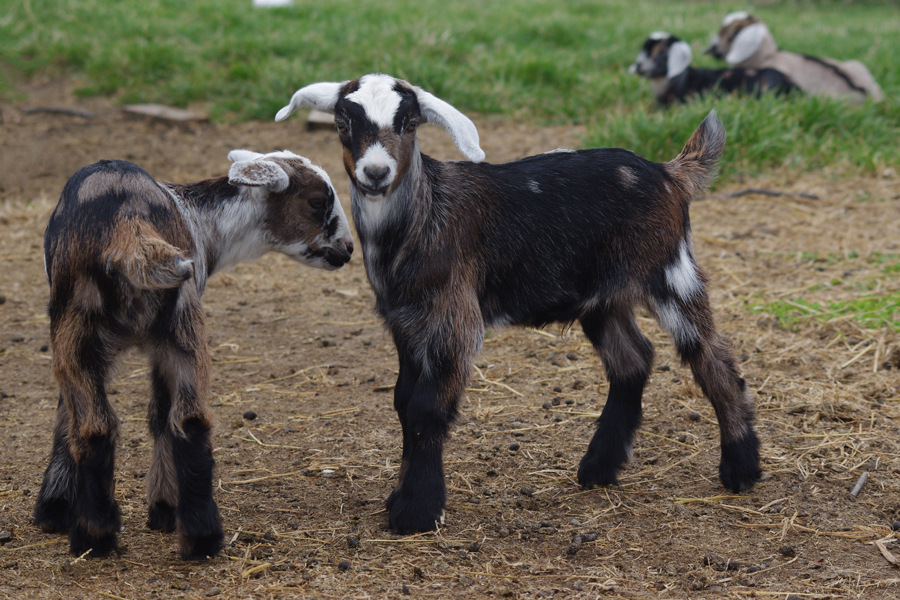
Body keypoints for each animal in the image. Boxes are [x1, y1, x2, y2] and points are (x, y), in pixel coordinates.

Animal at [274, 76, 760, 536]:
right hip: (602, 295)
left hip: (670, 270)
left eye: (409, 122)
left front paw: (416, 511)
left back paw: (741, 468)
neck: (421, 217)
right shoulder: (406, 323)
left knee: (713, 357)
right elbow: (403, 401)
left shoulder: (454, 318)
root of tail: (668, 172)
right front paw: (402, 498)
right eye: (342, 123)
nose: (376, 172)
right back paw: (599, 467)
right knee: (633, 359)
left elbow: (426, 407)